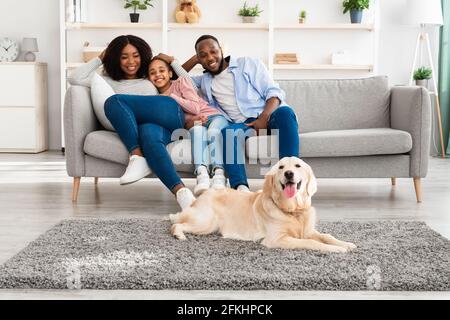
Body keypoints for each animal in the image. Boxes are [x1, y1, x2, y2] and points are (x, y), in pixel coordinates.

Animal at [167, 157, 356, 252]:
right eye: (281, 167)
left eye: (297, 166)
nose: (288, 173)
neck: (293, 211)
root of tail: (199, 198)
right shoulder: (277, 239)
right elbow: (311, 243)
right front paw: (336, 249)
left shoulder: (308, 231)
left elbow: (326, 236)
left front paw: (346, 244)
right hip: (206, 222)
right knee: (176, 224)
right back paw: (179, 235)